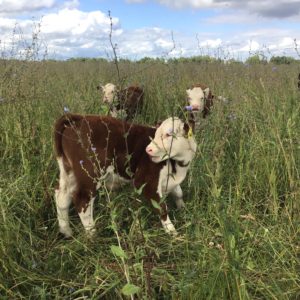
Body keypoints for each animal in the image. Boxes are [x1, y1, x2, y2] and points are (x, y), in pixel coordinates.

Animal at [53, 113, 197, 238]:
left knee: (61, 197)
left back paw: (66, 232)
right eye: (156, 134)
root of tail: (78, 117)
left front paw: (184, 210)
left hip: (68, 171)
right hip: (90, 174)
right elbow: (161, 207)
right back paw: (92, 234)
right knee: (82, 200)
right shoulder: (144, 181)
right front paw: (173, 233)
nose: (148, 149)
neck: (179, 165)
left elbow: (179, 193)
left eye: (168, 134)